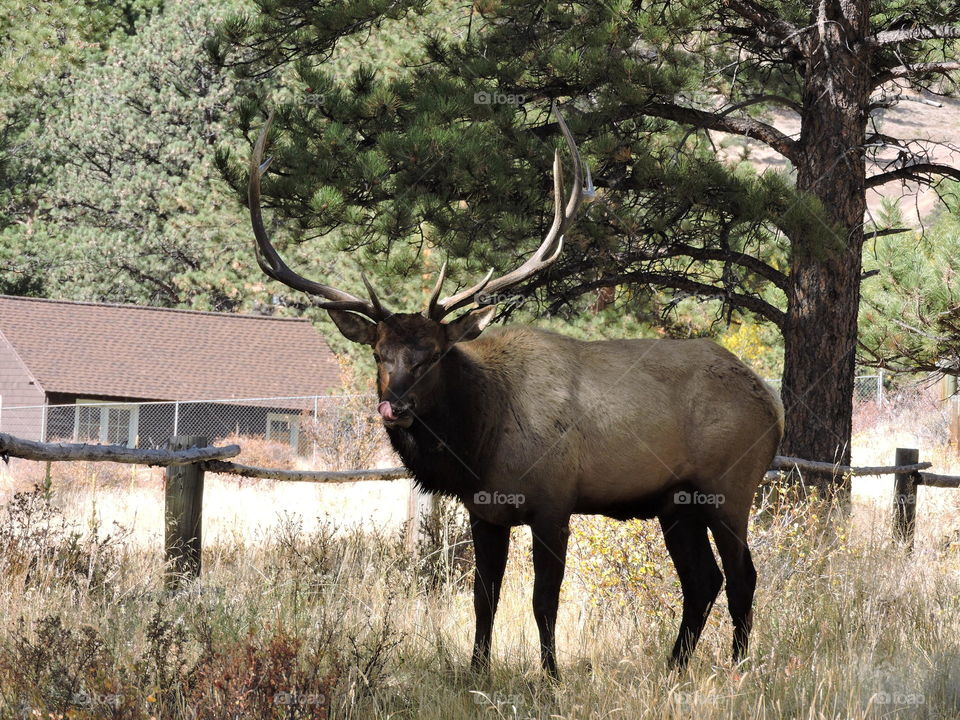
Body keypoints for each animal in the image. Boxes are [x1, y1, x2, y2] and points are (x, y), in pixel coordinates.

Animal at [247, 106, 784, 678]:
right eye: (379, 354)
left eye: (433, 354)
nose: (396, 406)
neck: (480, 443)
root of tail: (773, 402)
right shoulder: (485, 511)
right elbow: (484, 597)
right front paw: (477, 669)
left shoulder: (554, 502)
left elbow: (542, 600)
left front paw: (550, 674)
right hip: (675, 502)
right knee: (703, 580)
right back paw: (674, 667)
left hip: (730, 486)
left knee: (743, 576)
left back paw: (738, 667)